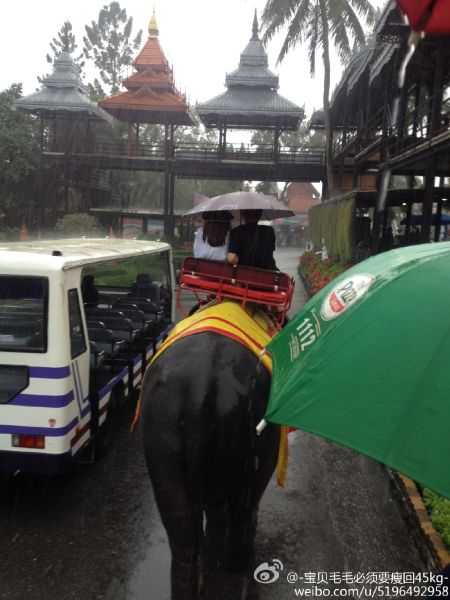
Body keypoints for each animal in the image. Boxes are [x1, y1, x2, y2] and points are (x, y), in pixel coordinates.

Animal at [139, 330, 280, 596]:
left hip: (159, 427)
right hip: (251, 430)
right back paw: (242, 565)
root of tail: (199, 392)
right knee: (247, 505)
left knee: (181, 536)